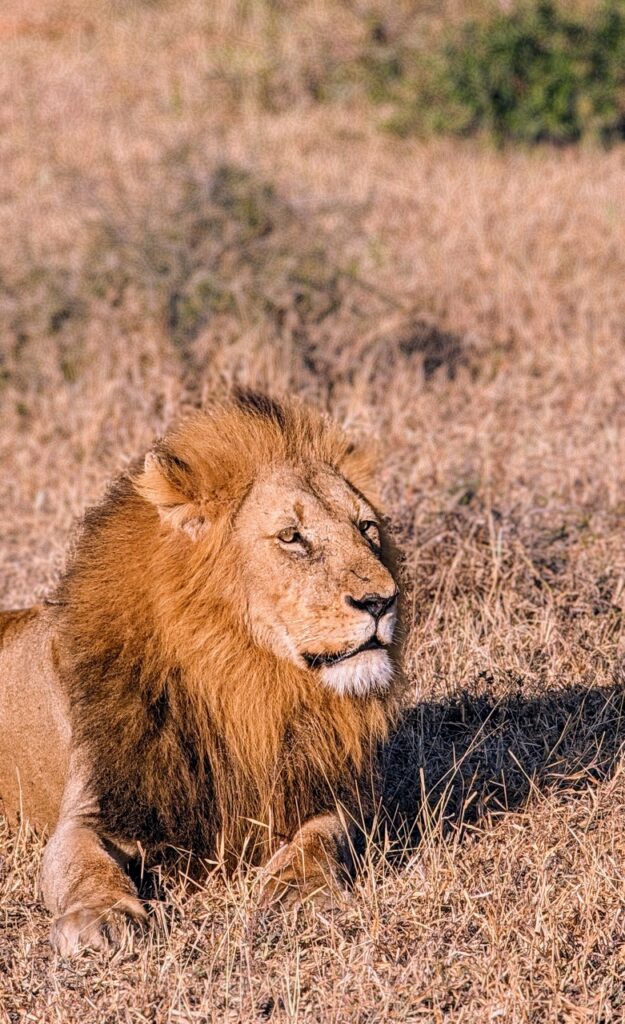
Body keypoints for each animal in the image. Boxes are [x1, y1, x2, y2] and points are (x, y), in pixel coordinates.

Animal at [0, 390, 404, 953]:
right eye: (291, 537)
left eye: (366, 528)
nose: (383, 601)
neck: (244, 679)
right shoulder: (94, 808)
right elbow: (84, 861)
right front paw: (102, 916)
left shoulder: (330, 793)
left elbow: (322, 839)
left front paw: (299, 890)